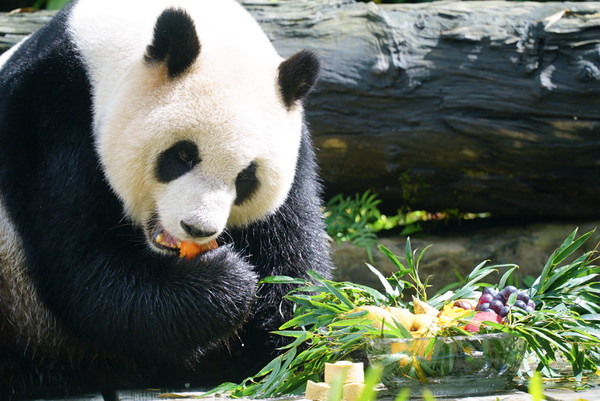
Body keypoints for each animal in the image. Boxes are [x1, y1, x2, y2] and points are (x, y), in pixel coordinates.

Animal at [0, 0, 332, 396]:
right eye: (183, 155)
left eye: (246, 177)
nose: (198, 228)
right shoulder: (53, 117)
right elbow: (86, 272)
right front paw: (228, 279)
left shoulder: (297, 149)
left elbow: (291, 250)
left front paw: (295, 346)